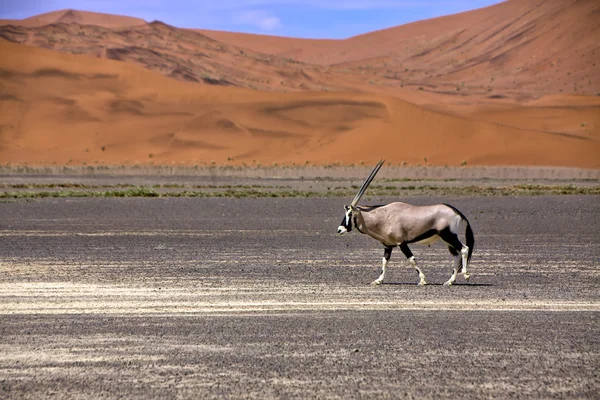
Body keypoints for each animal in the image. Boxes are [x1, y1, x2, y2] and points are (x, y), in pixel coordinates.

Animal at [338, 161, 474, 286]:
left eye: (350, 214)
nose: (339, 229)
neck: (383, 216)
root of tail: (457, 212)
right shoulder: (388, 246)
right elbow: (384, 261)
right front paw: (378, 280)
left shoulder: (401, 242)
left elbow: (411, 259)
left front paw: (422, 280)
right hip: (447, 239)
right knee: (456, 256)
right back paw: (450, 281)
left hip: (448, 236)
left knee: (464, 249)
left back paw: (466, 274)